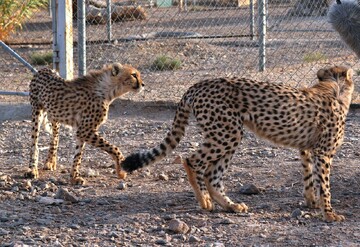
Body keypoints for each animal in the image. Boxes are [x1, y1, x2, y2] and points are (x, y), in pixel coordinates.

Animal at [122, 65, 352, 222]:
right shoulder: (323, 153)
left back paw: (230, 206)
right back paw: (205, 201)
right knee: (192, 160)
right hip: (228, 132)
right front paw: (329, 213)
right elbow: (325, 185)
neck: (334, 86)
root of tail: (197, 85)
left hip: (227, 134)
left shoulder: (306, 149)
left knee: (211, 174)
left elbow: (309, 177)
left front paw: (312, 202)